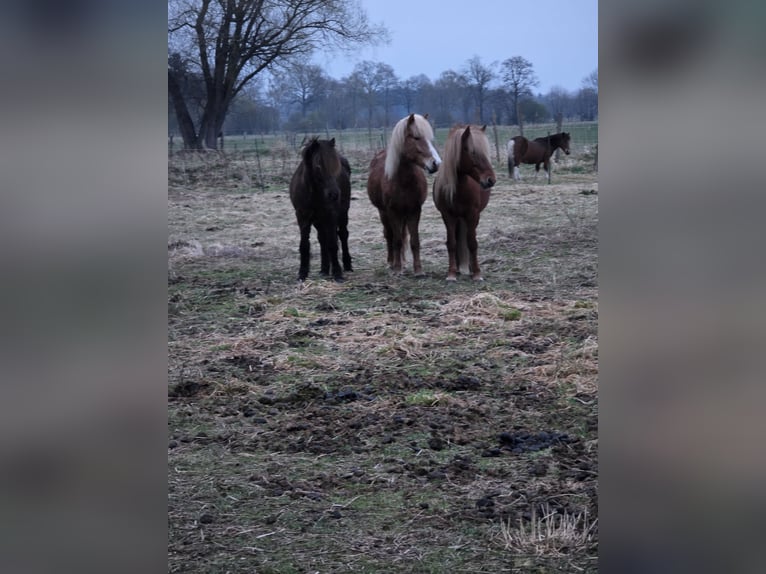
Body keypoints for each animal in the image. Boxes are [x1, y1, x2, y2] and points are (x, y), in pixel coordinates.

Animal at [289, 137, 353, 282]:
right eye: (318, 166)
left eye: (336, 165)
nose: (334, 194)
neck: (314, 192)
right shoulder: (302, 217)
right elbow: (304, 245)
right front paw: (302, 273)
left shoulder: (330, 215)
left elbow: (333, 243)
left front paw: (337, 273)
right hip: (318, 220)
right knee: (322, 238)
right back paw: (324, 269)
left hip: (343, 213)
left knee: (343, 235)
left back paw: (347, 265)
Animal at [366, 113, 442, 275]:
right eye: (416, 137)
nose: (436, 163)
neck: (403, 182)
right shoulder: (392, 211)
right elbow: (396, 240)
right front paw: (397, 269)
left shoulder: (414, 210)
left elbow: (414, 241)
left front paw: (418, 270)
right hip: (384, 212)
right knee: (389, 235)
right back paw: (391, 262)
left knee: (401, 234)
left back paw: (403, 261)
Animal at [432, 124, 496, 281]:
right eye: (471, 152)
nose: (490, 180)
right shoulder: (448, 216)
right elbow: (452, 243)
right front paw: (451, 274)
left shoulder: (472, 215)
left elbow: (472, 243)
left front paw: (477, 274)